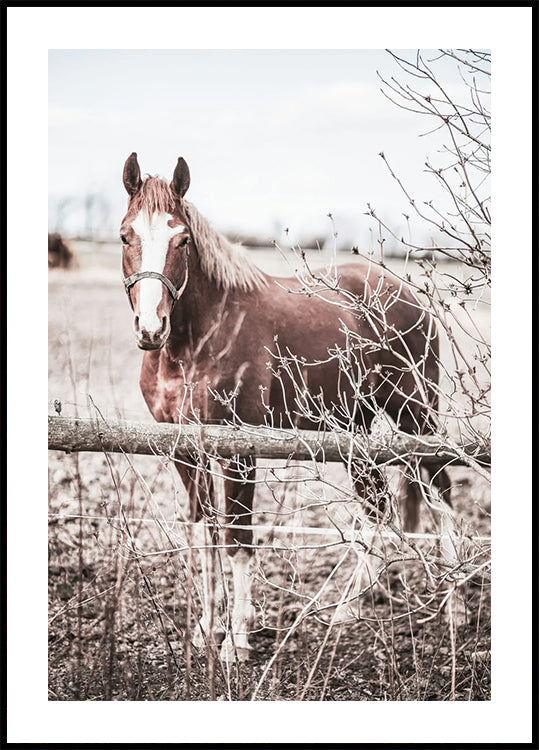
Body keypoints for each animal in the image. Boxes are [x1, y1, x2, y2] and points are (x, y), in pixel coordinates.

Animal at [119, 152, 453, 661]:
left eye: (182, 239)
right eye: (125, 235)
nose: (150, 328)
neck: (198, 339)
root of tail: (409, 296)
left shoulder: (239, 453)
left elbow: (237, 539)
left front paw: (236, 641)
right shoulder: (184, 449)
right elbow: (203, 534)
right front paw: (204, 628)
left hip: (415, 415)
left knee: (442, 492)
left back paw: (456, 601)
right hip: (354, 431)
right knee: (378, 507)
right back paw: (348, 609)